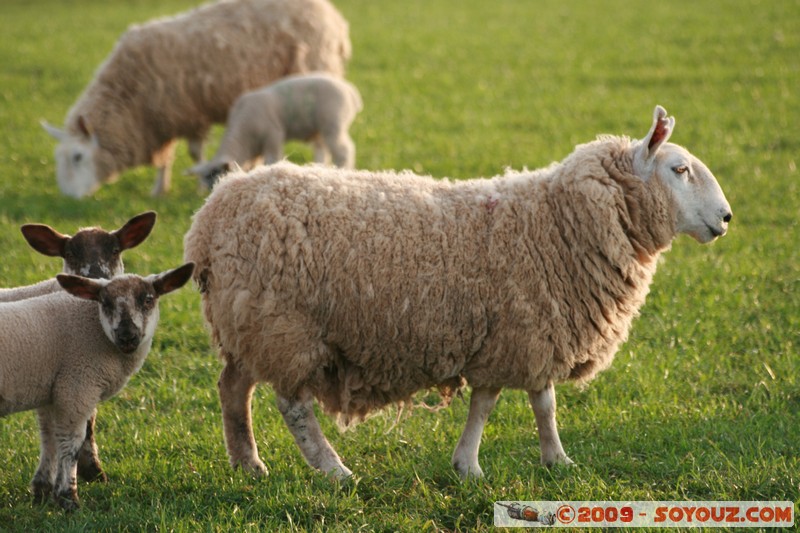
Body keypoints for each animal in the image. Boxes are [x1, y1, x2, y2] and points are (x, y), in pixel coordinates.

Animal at [0, 264, 194, 510]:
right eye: (105, 302)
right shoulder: (77, 386)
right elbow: (71, 443)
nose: (127, 336)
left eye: (148, 300)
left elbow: (49, 437)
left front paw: (42, 489)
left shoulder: (52, 390)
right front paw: (68, 498)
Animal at [184, 105, 736, 478]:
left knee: (233, 389)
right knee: (293, 405)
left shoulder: (527, 330)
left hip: (249, 323)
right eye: (679, 169)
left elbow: (539, 402)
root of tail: (211, 217)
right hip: (286, 325)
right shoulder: (515, 331)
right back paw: (334, 471)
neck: (556, 221)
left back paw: (247, 463)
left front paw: (554, 460)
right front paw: (472, 465)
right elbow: (492, 403)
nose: (727, 218)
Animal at [188, 71, 362, 190]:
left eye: (219, 178)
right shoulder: (255, 148)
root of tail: (351, 91)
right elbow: (254, 165)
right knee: (323, 149)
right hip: (320, 128)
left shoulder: (273, 135)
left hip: (333, 123)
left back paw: (343, 169)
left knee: (344, 150)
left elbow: (272, 160)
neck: (242, 136)